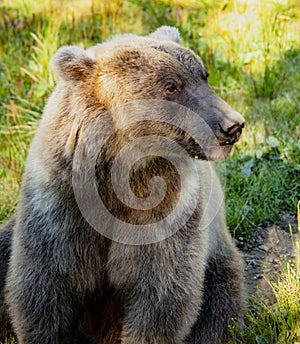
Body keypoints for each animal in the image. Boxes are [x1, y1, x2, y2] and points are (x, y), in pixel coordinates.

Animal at [0, 25, 245, 342]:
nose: (232, 125)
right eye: (171, 86)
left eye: (204, 75)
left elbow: (161, 294)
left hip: (217, 269)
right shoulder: (60, 203)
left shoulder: (166, 209)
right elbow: (44, 285)